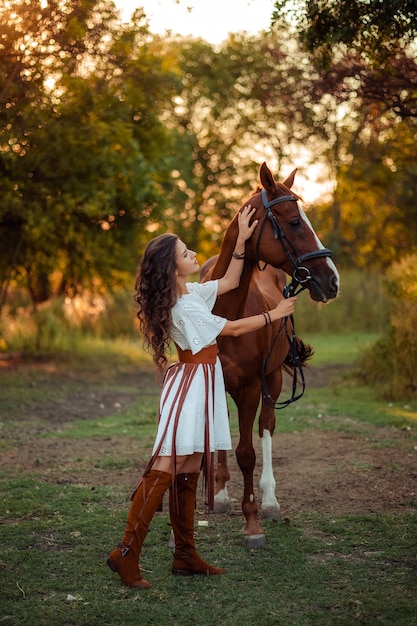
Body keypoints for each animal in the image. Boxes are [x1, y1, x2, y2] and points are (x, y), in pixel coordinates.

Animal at [200, 162, 340, 544]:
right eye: (293, 222)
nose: (333, 281)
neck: (226, 312)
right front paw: (216, 497)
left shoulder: (251, 387)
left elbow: (247, 452)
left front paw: (252, 522)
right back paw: (221, 495)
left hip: (273, 379)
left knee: (266, 427)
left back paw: (270, 500)